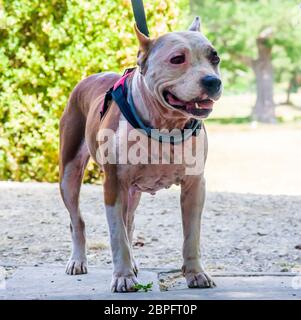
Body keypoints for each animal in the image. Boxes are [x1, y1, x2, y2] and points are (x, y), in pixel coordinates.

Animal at [59, 16, 220, 292]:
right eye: (177, 59)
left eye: (215, 57)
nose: (212, 81)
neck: (166, 125)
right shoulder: (113, 184)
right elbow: (117, 236)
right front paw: (123, 277)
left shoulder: (194, 185)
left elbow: (192, 236)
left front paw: (196, 274)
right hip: (68, 176)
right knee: (77, 220)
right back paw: (78, 261)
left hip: (132, 192)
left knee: (130, 222)